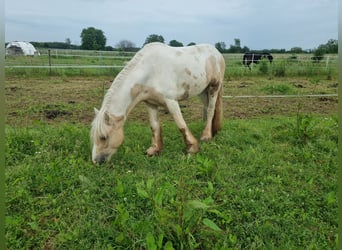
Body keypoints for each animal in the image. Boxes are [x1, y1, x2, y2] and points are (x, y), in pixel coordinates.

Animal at [89, 42, 226, 164]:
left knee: (210, 110)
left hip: (214, 87)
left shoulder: (171, 101)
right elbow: (154, 126)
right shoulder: (151, 103)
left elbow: (181, 124)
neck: (149, 72)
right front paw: (154, 150)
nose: (96, 161)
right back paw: (213, 131)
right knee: (208, 107)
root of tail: (217, 53)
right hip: (202, 91)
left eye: (103, 137)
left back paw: (206, 136)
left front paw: (192, 148)